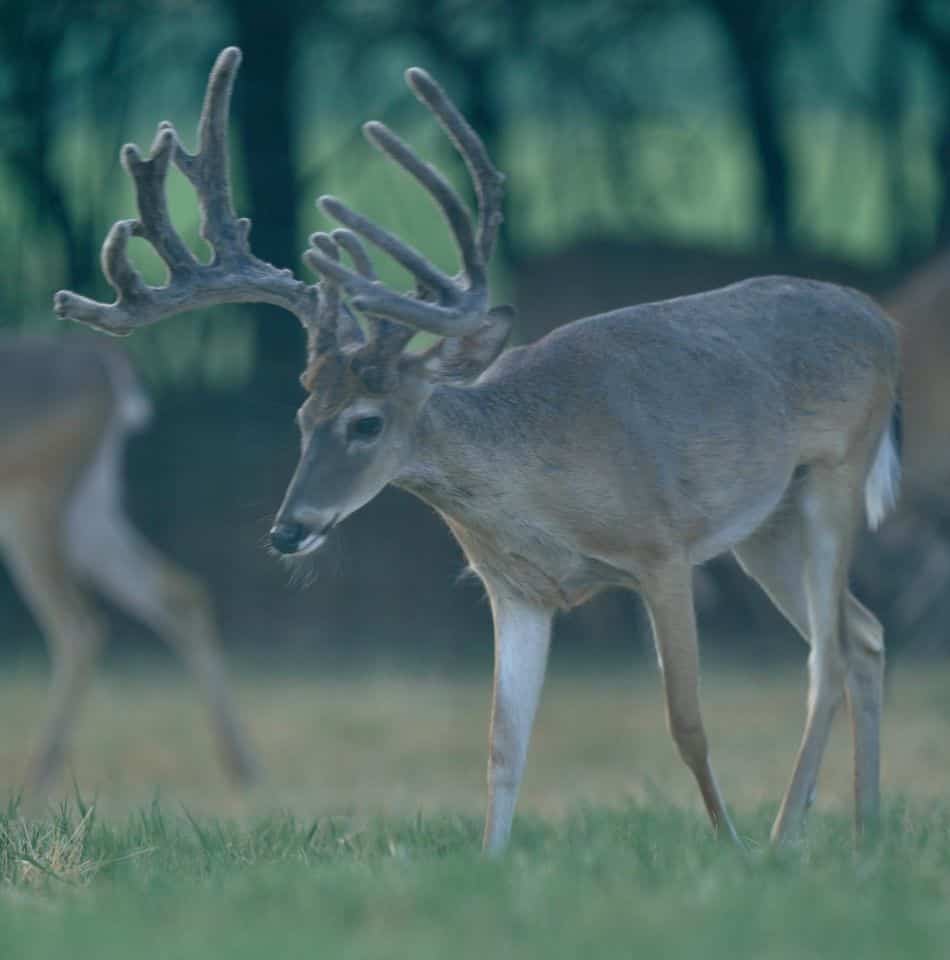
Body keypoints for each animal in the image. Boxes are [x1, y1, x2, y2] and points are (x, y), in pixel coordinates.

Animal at [0, 333, 258, 792]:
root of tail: (107, 365)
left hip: (30, 492)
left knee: (77, 624)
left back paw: (38, 774)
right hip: (88, 502)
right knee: (179, 591)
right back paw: (242, 763)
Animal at [54, 47, 900, 852]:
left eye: (367, 422)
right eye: (301, 415)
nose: (288, 530)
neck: (544, 489)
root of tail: (880, 318)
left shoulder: (663, 551)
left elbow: (686, 723)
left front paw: (728, 849)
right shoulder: (515, 588)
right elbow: (503, 744)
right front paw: (491, 863)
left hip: (835, 472)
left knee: (828, 656)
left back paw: (783, 838)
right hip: (765, 525)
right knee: (863, 635)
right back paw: (865, 835)